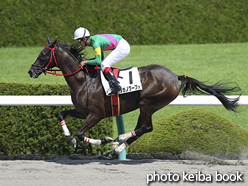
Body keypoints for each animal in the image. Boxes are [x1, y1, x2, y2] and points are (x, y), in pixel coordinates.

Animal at [28, 37, 240, 159]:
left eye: (44, 53)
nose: (31, 71)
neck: (83, 80)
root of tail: (175, 76)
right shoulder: (82, 111)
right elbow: (61, 114)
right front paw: (70, 139)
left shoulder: (96, 114)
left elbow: (81, 133)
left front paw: (103, 140)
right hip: (148, 106)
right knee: (141, 129)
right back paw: (114, 151)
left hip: (148, 103)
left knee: (146, 128)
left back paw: (118, 140)